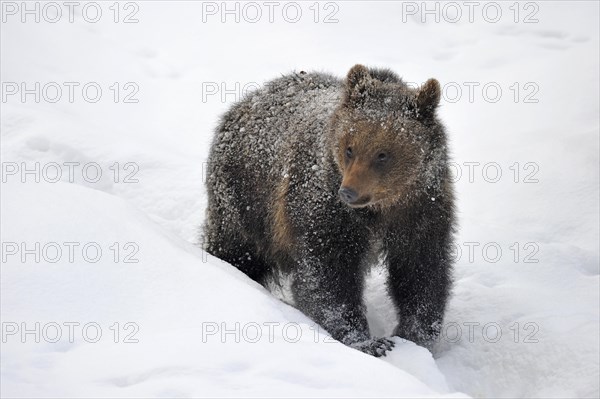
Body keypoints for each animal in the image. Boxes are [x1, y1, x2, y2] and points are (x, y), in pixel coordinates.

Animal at [202, 64, 454, 358]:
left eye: (382, 154)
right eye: (350, 148)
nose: (349, 192)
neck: (381, 209)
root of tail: (244, 102)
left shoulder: (421, 210)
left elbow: (422, 271)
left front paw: (414, 335)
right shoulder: (324, 209)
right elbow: (328, 276)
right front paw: (368, 341)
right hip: (246, 198)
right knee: (236, 249)